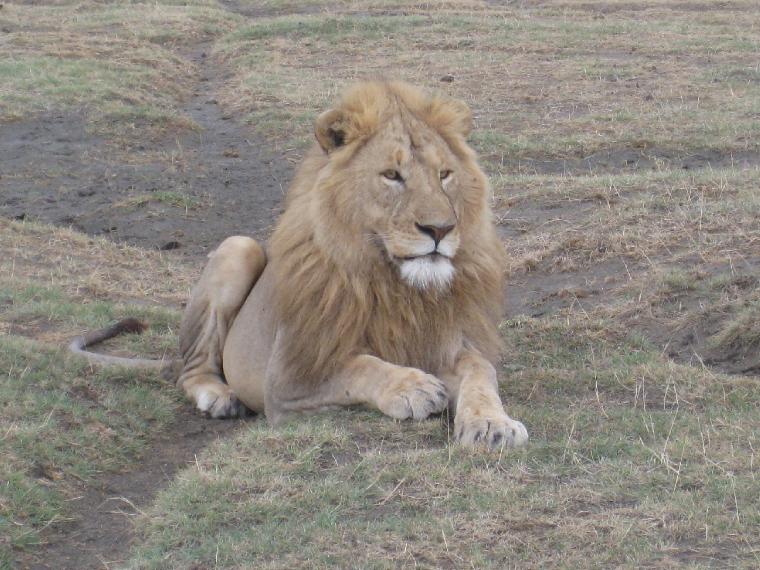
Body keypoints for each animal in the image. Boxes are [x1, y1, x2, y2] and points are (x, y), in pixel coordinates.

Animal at [75, 80, 528, 446]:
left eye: (445, 174)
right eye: (392, 175)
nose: (440, 229)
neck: (394, 284)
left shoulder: (444, 343)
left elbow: (480, 371)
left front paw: (493, 424)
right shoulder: (289, 378)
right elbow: (358, 367)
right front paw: (412, 387)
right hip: (238, 248)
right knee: (191, 368)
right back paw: (220, 397)